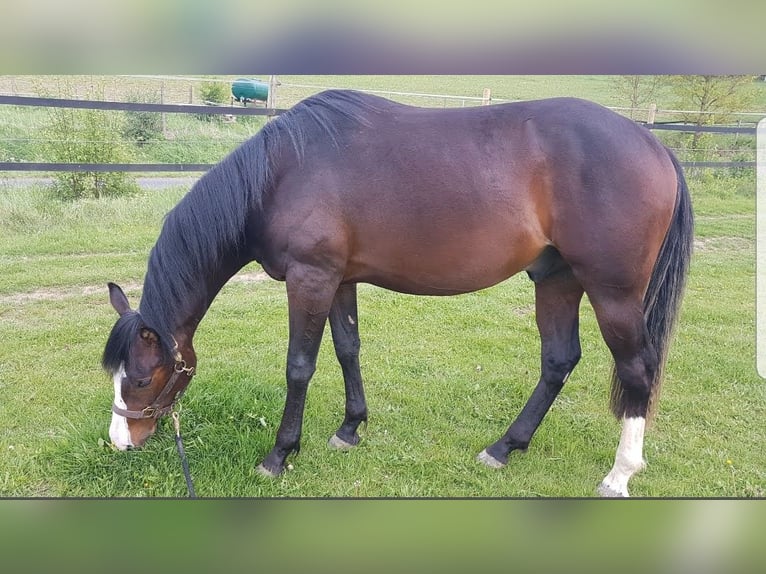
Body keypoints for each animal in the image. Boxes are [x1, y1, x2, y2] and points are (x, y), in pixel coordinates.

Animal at [102, 89, 693, 497]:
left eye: (141, 377)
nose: (119, 441)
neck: (280, 175)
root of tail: (653, 144)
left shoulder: (310, 278)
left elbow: (299, 366)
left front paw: (280, 455)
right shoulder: (339, 279)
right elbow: (347, 349)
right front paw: (349, 429)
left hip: (612, 291)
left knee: (636, 371)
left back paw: (619, 475)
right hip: (556, 279)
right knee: (558, 360)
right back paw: (504, 447)